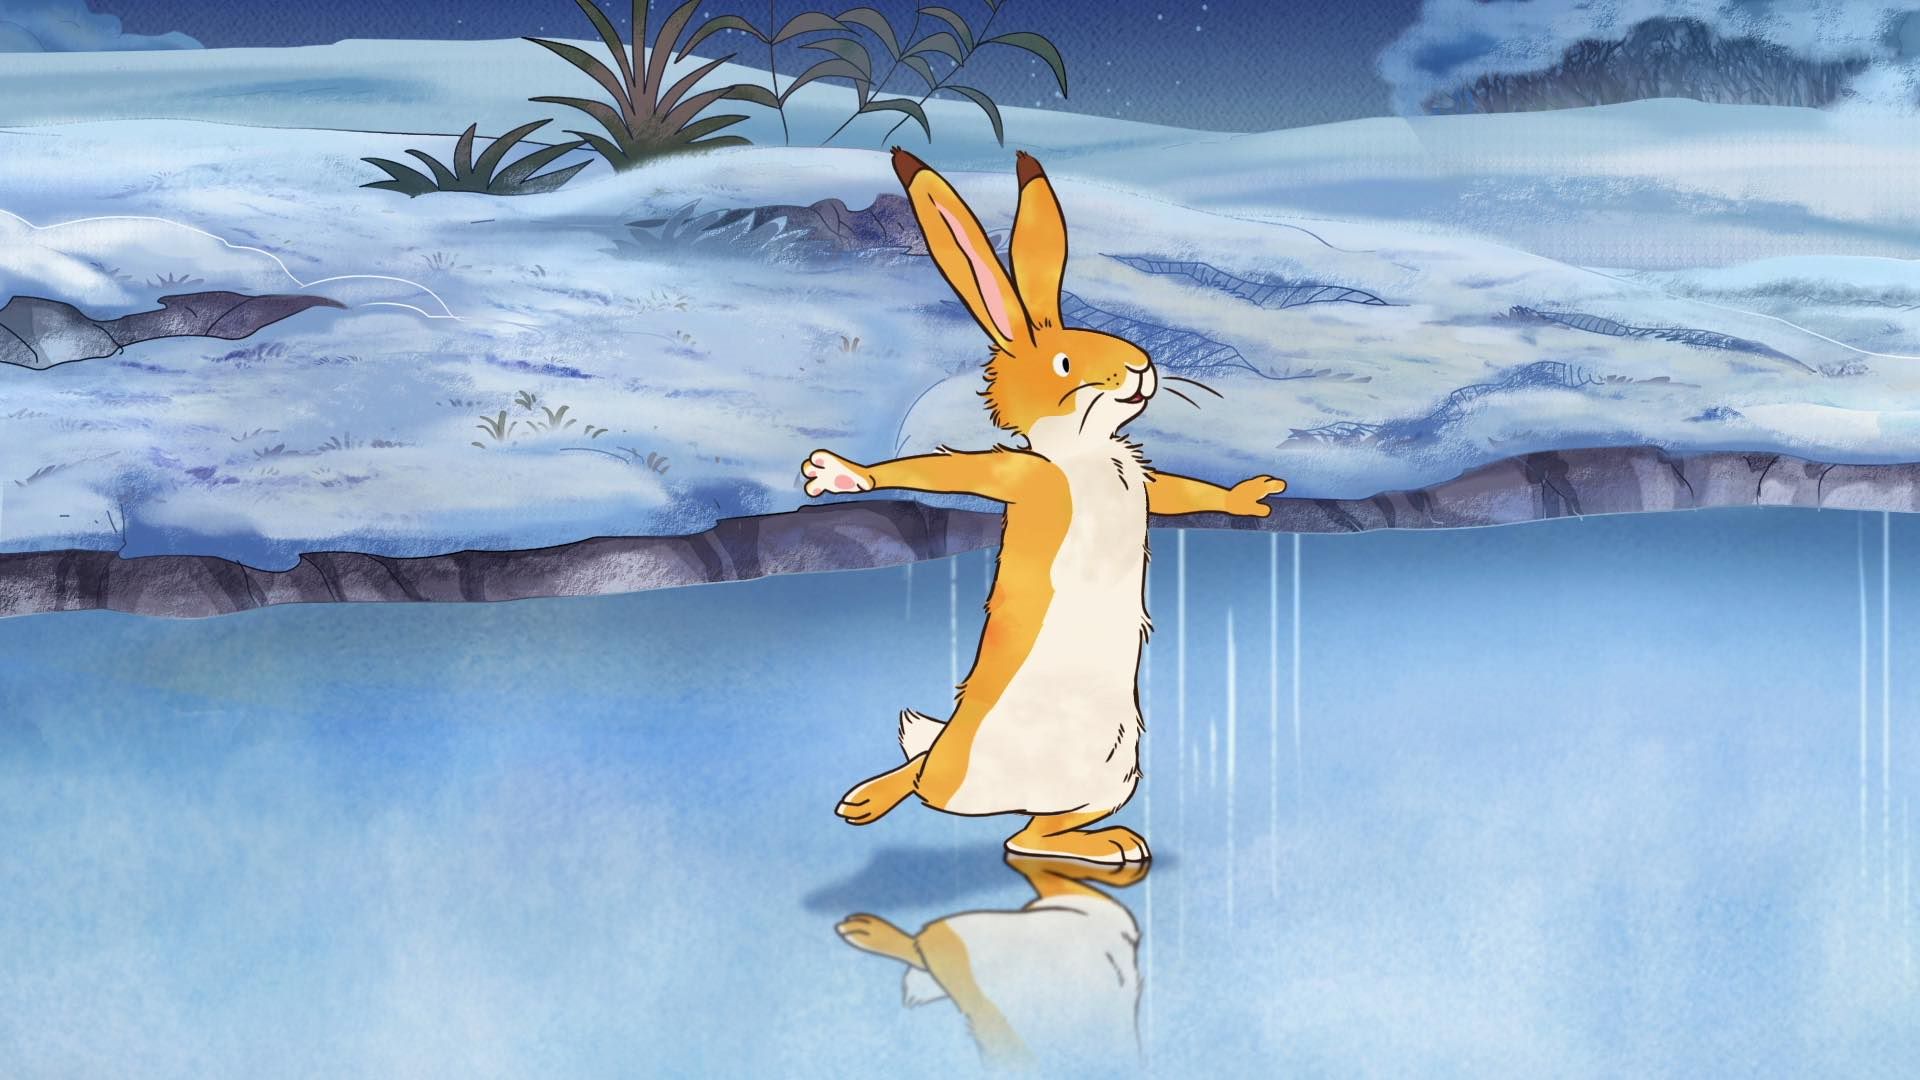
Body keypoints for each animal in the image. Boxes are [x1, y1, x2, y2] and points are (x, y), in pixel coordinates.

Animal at [803, 148, 1287, 865]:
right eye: (1064, 362)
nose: (1143, 367)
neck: (1083, 456)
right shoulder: (1025, 477)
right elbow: (949, 471)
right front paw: (841, 473)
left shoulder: (1139, 477)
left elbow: (1173, 490)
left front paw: (1248, 497)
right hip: (976, 760)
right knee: (928, 781)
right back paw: (870, 798)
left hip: (1116, 767)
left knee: (1028, 837)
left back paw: (1106, 844)